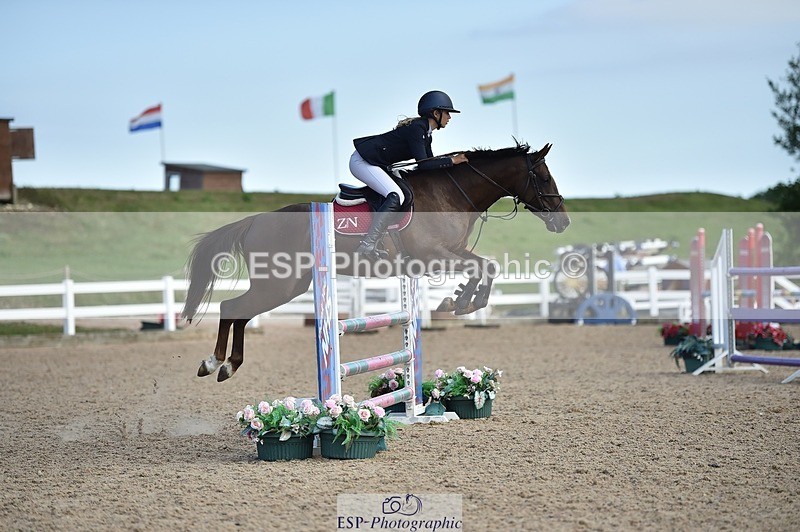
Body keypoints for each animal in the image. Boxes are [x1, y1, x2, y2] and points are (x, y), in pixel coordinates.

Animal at [183, 142, 570, 381]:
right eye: (543, 176)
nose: (563, 221)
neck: (452, 193)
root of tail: (255, 220)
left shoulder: (453, 253)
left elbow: (487, 266)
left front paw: (460, 300)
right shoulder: (434, 256)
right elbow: (482, 267)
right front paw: (461, 302)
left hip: (288, 285)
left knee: (241, 312)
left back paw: (226, 365)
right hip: (278, 283)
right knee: (232, 308)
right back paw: (215, 363)